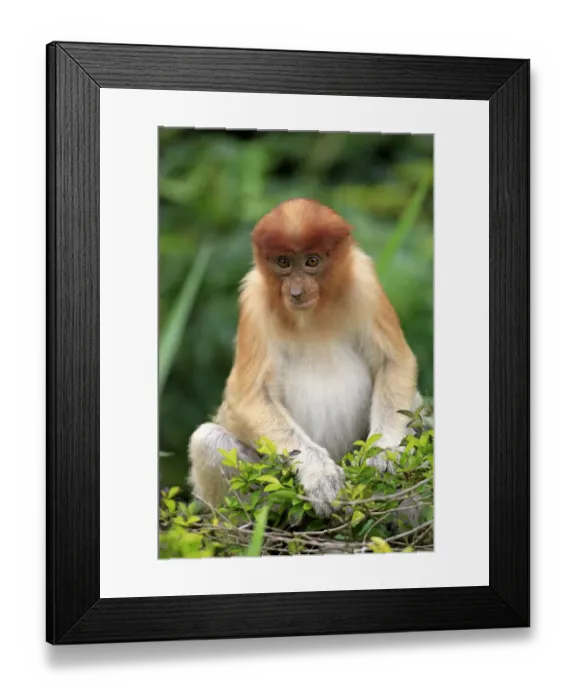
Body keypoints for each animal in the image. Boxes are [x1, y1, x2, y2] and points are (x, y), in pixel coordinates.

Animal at [188, 197, 423, 518]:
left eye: (312, 261)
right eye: (283, 262)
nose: (296, 292)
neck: (313, 316)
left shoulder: (365, 285)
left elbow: (394, 362)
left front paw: (382, 456)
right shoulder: (253, 302)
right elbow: (249, 396)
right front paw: (320, 476)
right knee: (207, 440)